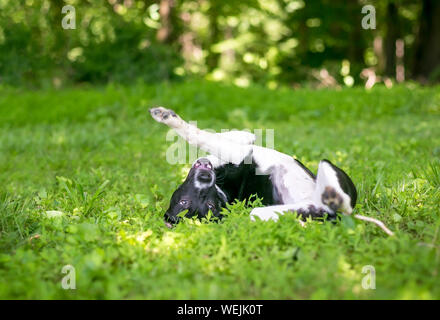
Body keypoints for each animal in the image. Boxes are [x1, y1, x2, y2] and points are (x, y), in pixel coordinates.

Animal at [150, 107, 356, 228]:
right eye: (184, 202)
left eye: (210, 205)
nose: (205, 178)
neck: (221, 189)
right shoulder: (239, 153)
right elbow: (203, 137)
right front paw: (169, 118)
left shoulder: (240, 143)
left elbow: (225, 137)